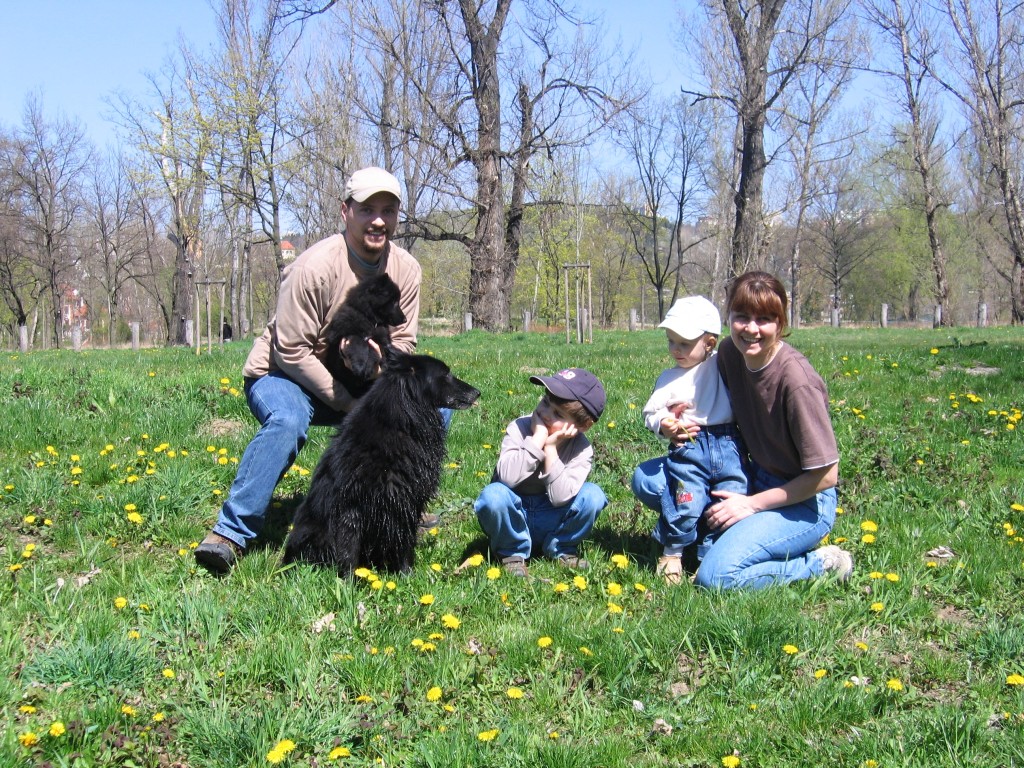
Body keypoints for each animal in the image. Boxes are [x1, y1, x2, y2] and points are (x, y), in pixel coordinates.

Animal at [284, 352, 479, 573]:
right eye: (446, 374)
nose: (477, 393)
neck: (400, 424)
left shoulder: (407, 502)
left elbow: (405, 543)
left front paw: (406, 574)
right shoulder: (352, 509)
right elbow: (348, 553)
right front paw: (348, 581)